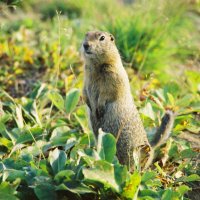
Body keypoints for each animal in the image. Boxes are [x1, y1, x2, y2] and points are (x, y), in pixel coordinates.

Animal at [81, 30, 175, 170]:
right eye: (86, 34)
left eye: (102, 38)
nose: (85, 44)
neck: (96, 66)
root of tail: (151, 147)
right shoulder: (86, 77)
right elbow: (84, 91)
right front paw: (89, 104)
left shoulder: (114, 77)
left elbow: (108, 92)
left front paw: (100, 107)